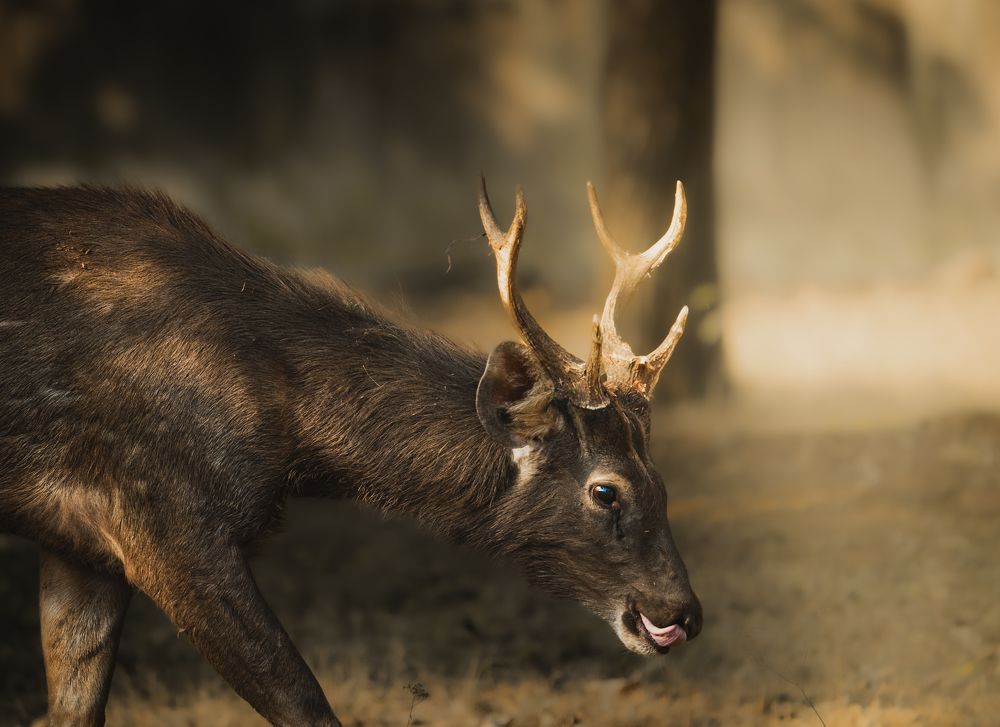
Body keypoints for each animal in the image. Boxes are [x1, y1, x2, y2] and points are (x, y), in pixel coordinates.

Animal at [0, 178, 702, 727]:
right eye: (605, 489)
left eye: (664, 483)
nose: (682, 612)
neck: (286, 437)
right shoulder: (166, 527)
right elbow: (308, 704)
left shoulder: (83, 547)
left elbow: (73, 708)